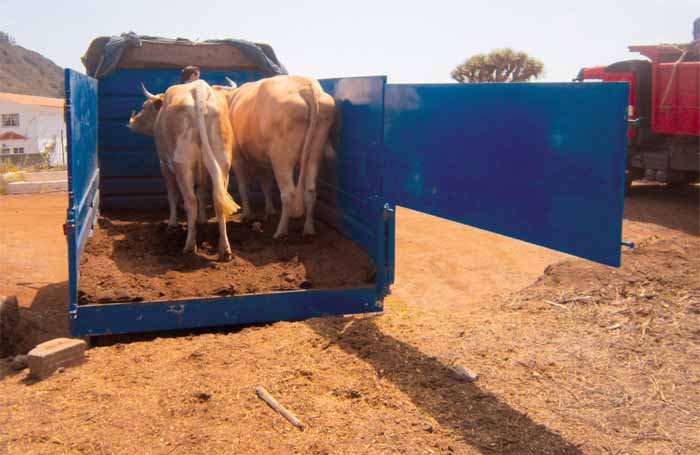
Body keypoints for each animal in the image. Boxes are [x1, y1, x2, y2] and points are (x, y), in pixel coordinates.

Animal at [129, 80, 241, 262]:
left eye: (145, 106)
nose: (131, 121)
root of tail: (199, 88)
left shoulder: (164, 165)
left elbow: (172, 196)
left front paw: (172, 224)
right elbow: (202, 193)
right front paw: (202, 220)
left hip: (182, 165)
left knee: (190, 201)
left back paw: (189, 246)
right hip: (223, 164)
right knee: (218, 201)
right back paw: (225, 250)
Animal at [216, 75, 336, 239]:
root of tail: (306, 85)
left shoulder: (237, 156)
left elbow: (243, 187)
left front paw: (246, 213)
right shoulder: (263, 160)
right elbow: (266, 184)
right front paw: (270, 210)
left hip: (282, 158)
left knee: (288, 193)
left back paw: (280, 232)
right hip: (314, 154)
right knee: (310, 191)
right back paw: (309, 229)